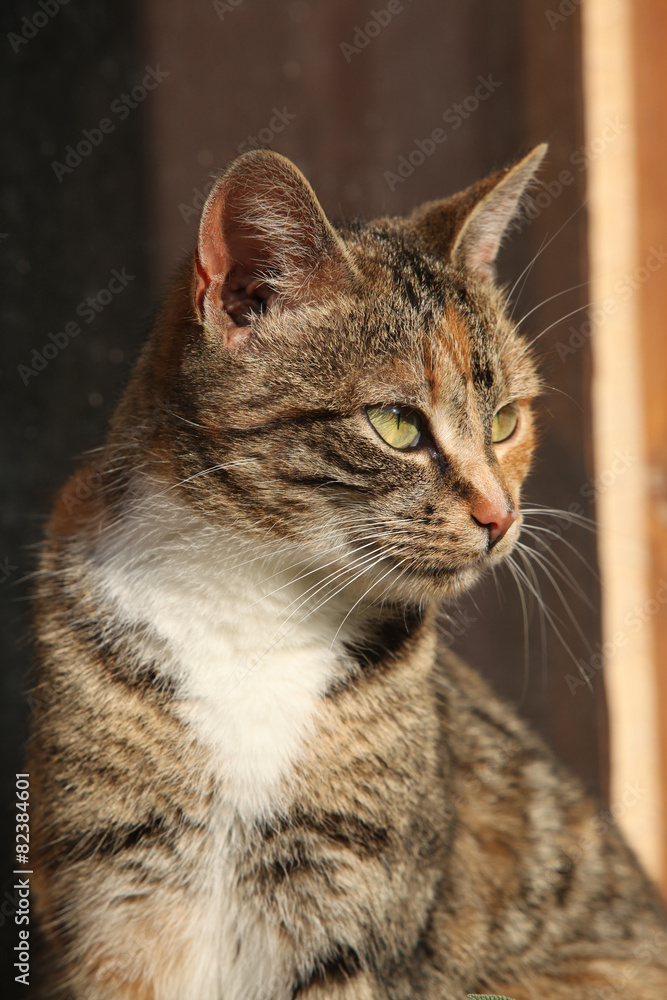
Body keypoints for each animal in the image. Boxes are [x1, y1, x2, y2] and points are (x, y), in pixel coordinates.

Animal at [27, 143, 667, 1000]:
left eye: (505, 421)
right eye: (396, 424)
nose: (501, 517)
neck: (251, 608)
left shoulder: (347, 898)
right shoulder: (112, 887)